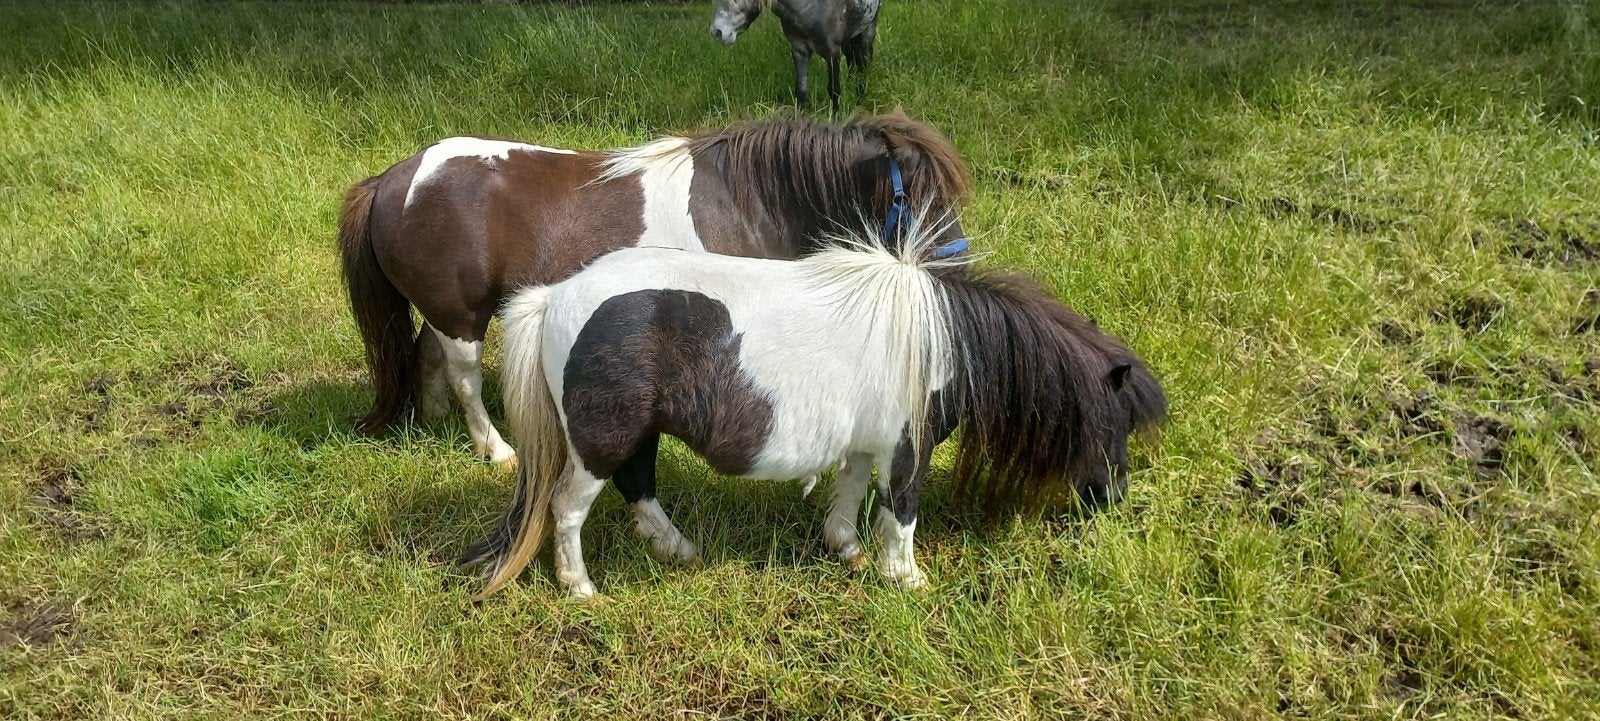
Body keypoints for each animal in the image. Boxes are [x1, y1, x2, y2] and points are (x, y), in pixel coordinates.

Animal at [337, 111, 970, 469]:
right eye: (912, 197)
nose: (955, 265)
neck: (747, 200)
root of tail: (390, 180)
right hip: (463, 315)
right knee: (465, 376)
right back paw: (494, 449)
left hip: (444, 311)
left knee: (428, 355)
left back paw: (436, 420)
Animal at [460, 216, 1167, 599]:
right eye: (1113, 426)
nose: (1115, 499)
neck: (940, 337)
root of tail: (554, 296)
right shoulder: (907, 449)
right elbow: (901, 514)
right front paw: (905, 578)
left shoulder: (864, 444)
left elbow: (851, 493)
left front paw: (846, 549)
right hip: (600, 441)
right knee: (567, 508)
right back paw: (581, 588)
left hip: (638, 432)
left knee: (640, 488)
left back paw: (678, 550)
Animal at [710, 0, 881, 115]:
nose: (716, 32)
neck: (810, 10)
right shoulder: (799, 50)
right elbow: (801, 91)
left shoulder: (832, 53)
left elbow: (834, 90)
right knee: (853, 63)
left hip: (868, 30)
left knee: (864, 65)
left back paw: (860, 98)